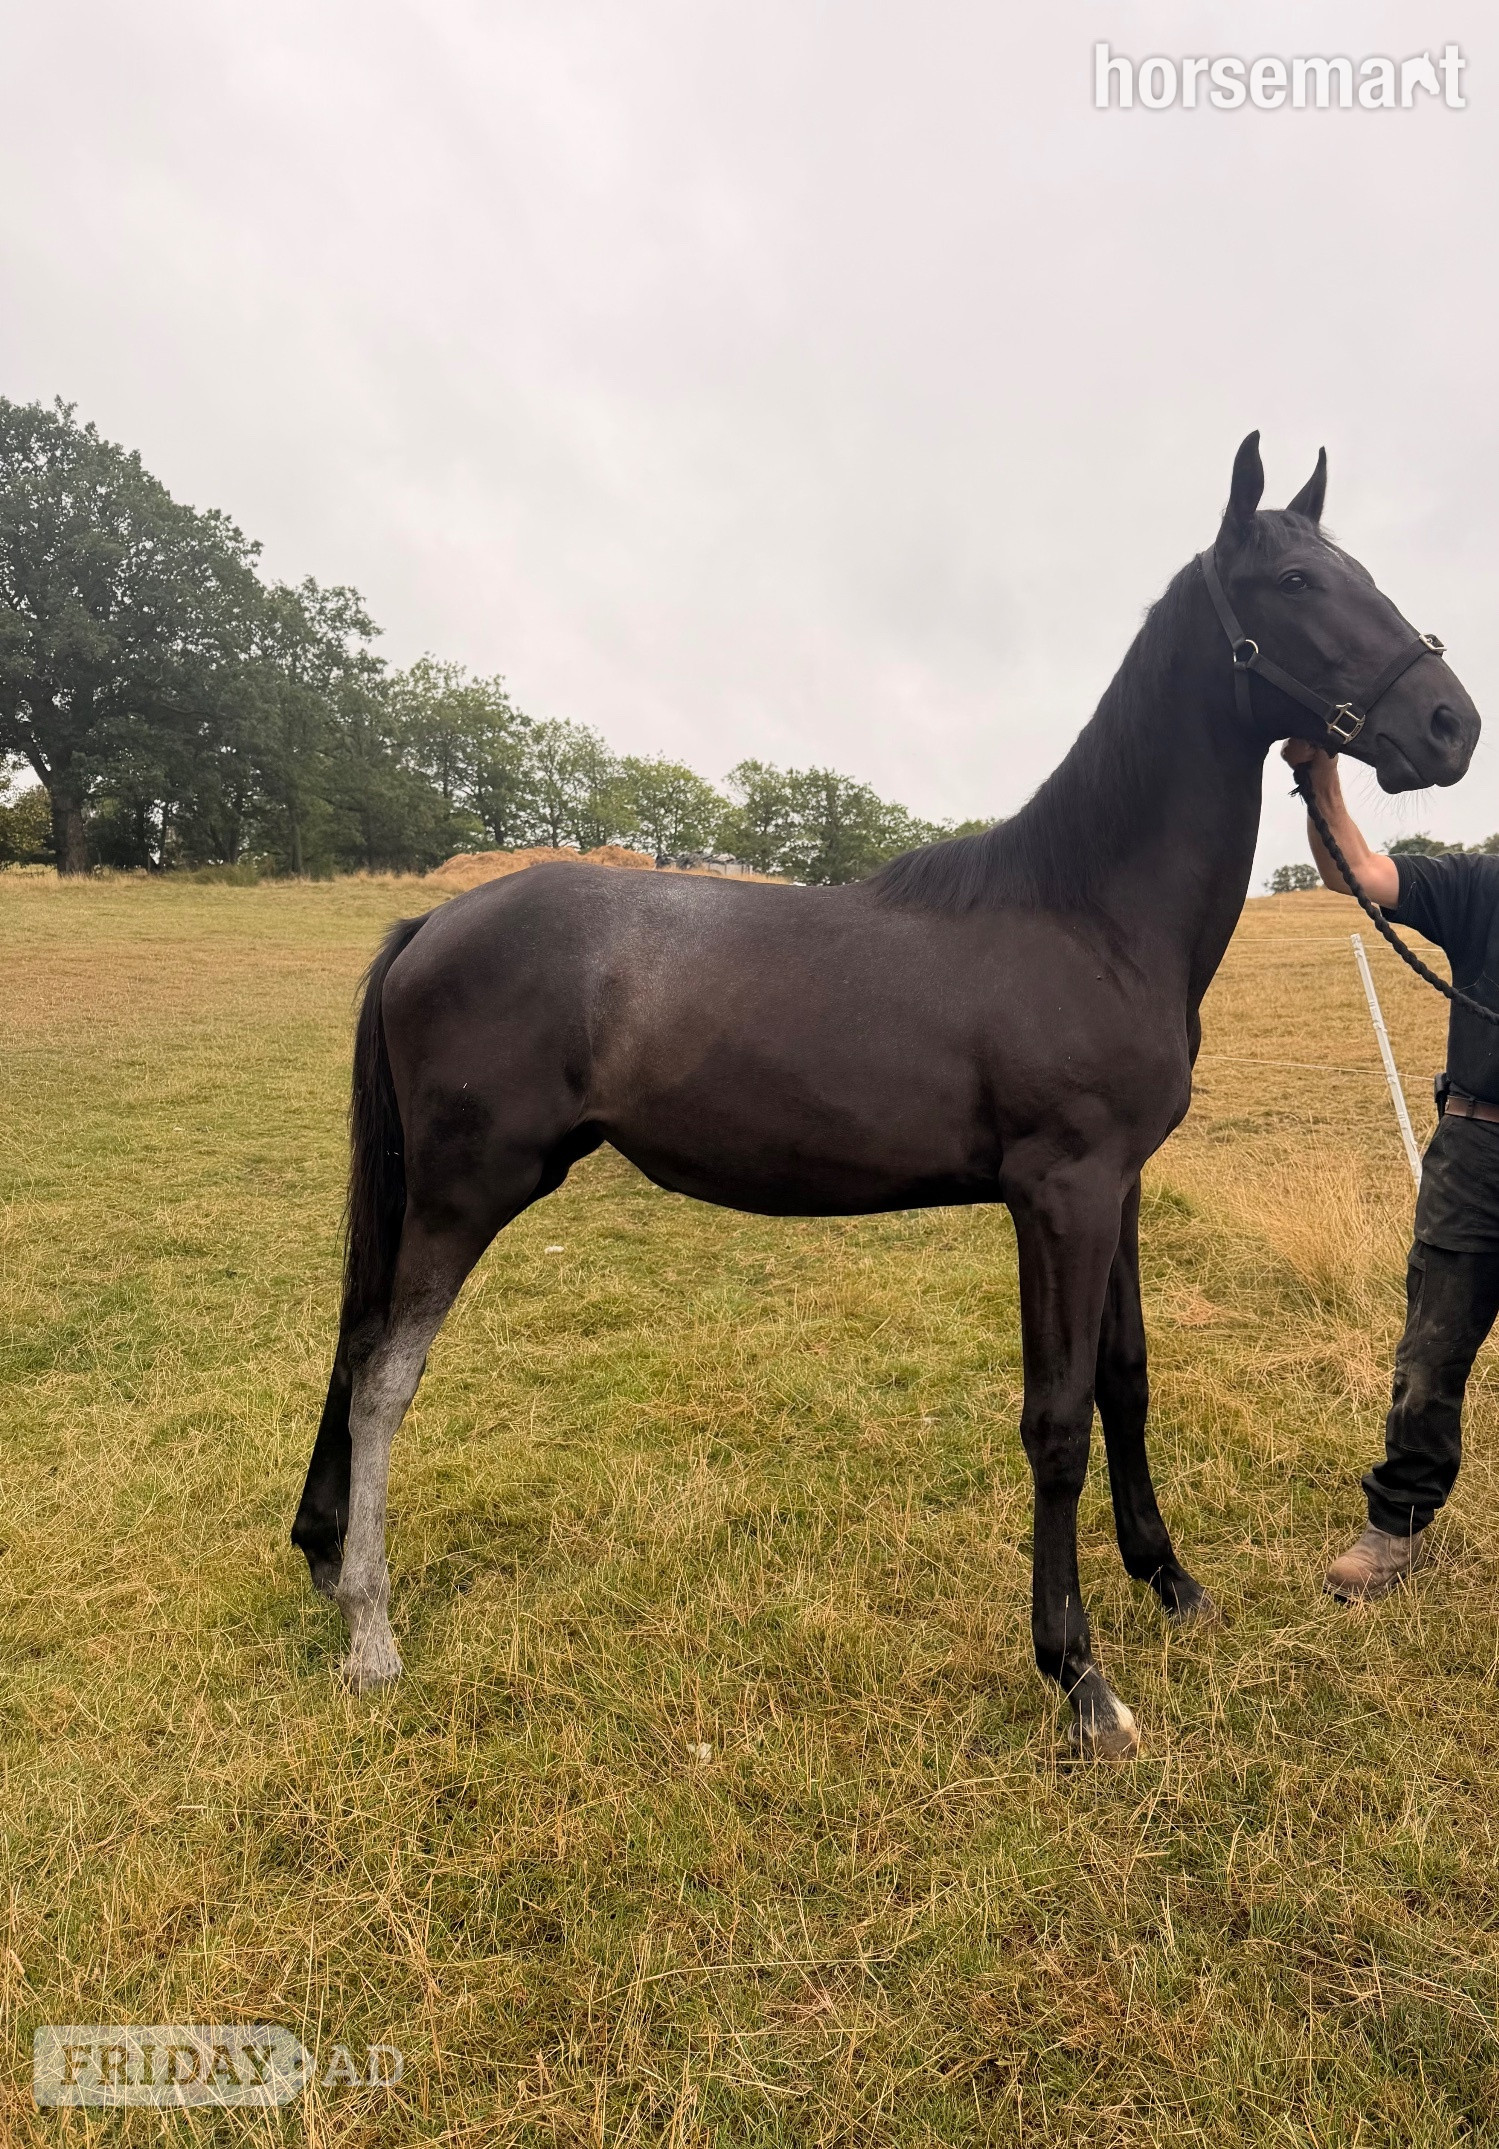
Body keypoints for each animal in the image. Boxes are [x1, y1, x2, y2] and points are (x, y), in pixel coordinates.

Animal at [292, 434, 1479, 1756]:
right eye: (1292, 581)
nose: (1448, 724)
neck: (1084, 913)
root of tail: (430, 922)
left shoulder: (1117, 1188)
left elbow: (1124, 1379)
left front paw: (1171, 1583)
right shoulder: (1057, 1196)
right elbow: (1054, 1420)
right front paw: (1078, 1679)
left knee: (352, 1348)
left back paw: (329, 1564)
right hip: (465, 1194)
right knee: (384, 1378)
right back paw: (371, 1633)